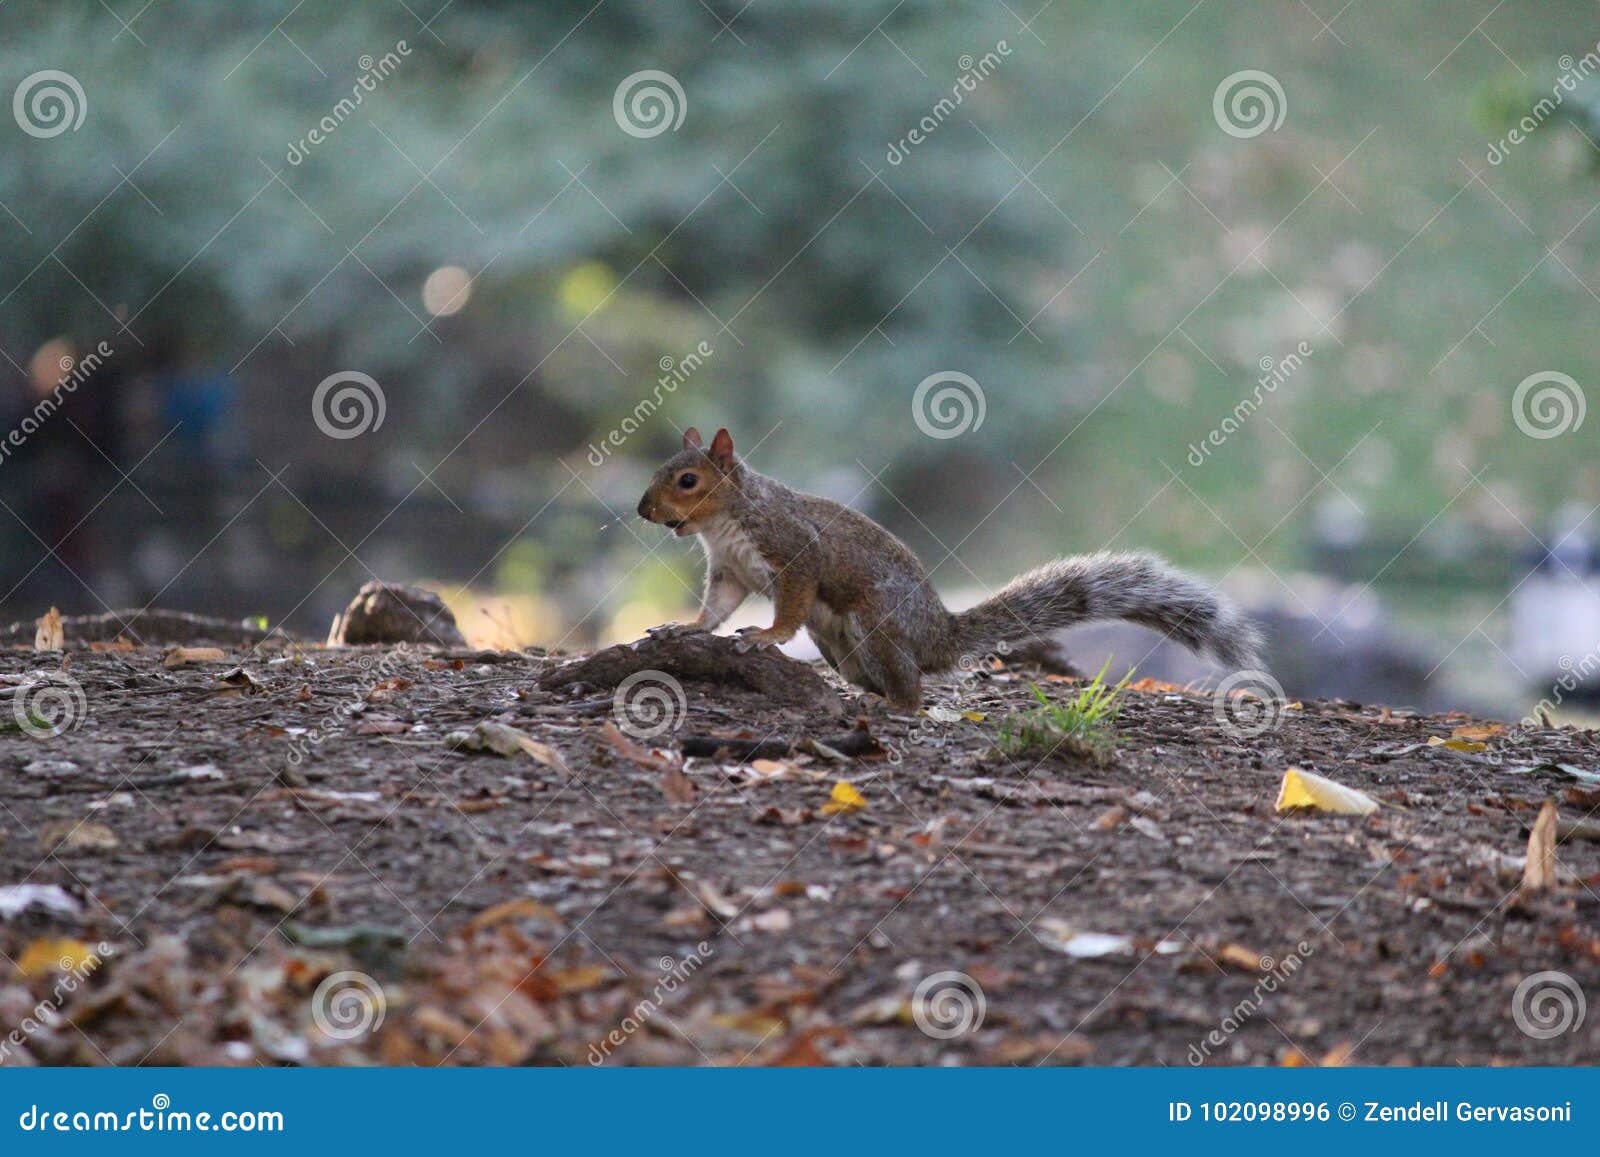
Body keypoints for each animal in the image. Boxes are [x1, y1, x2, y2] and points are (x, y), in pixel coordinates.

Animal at [636, 426, 1264, 708]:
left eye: (688, 480)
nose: (643, 511)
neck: (725, 523)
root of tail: (939, 634)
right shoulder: (729, 571)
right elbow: (713, 610)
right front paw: (682, 628)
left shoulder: (795, 553)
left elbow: (790, 604)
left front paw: (765, 636)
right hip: (841, 644)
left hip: (875, 621)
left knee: (913, 688)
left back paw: (895, 704)